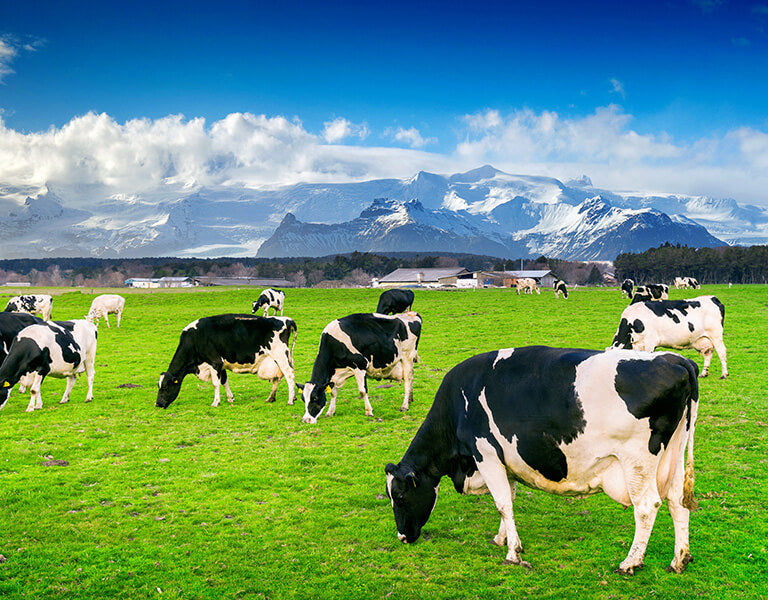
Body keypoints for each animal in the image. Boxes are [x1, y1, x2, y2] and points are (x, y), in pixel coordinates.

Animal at [156, 314, 296, 408]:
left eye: (165, 387)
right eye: (159, 386)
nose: (157, 404)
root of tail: (286, 319)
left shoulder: (214, 362)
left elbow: (215, 383)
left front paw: (215, 402)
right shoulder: (221, 365)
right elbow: (224, 381)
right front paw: (230, 398)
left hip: (280, 356)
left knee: (289, 375)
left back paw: (290, 400)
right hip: (279, 359)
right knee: (278, 377)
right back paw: (272, 398)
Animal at [388, 346, 700, 576]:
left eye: (401, 497)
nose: (402, 536)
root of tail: (675, 359)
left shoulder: (485, 454)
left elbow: (502, 502)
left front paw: (512, 553)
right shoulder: (505, 461)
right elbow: (509, 499)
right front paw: (503, 538)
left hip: (638, 461)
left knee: (647, 506)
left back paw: (630, 563)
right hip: (675, 454)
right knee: (677, 502)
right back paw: (679, 560)